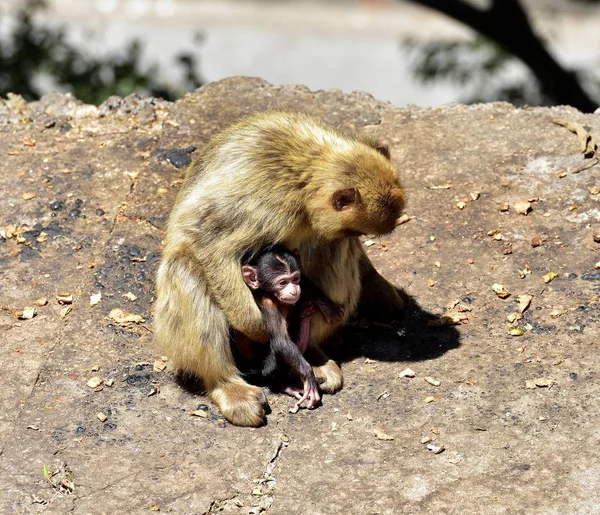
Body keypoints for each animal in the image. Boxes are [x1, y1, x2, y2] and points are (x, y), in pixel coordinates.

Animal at [238, 246, 344, 412]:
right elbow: (281, 342)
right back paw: (284, 385)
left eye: (295, 279)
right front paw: (308, 374)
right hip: (262, 372)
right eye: (282, 282)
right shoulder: (268, 304)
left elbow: (305, 284)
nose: (294, 290)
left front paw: (327, 306)